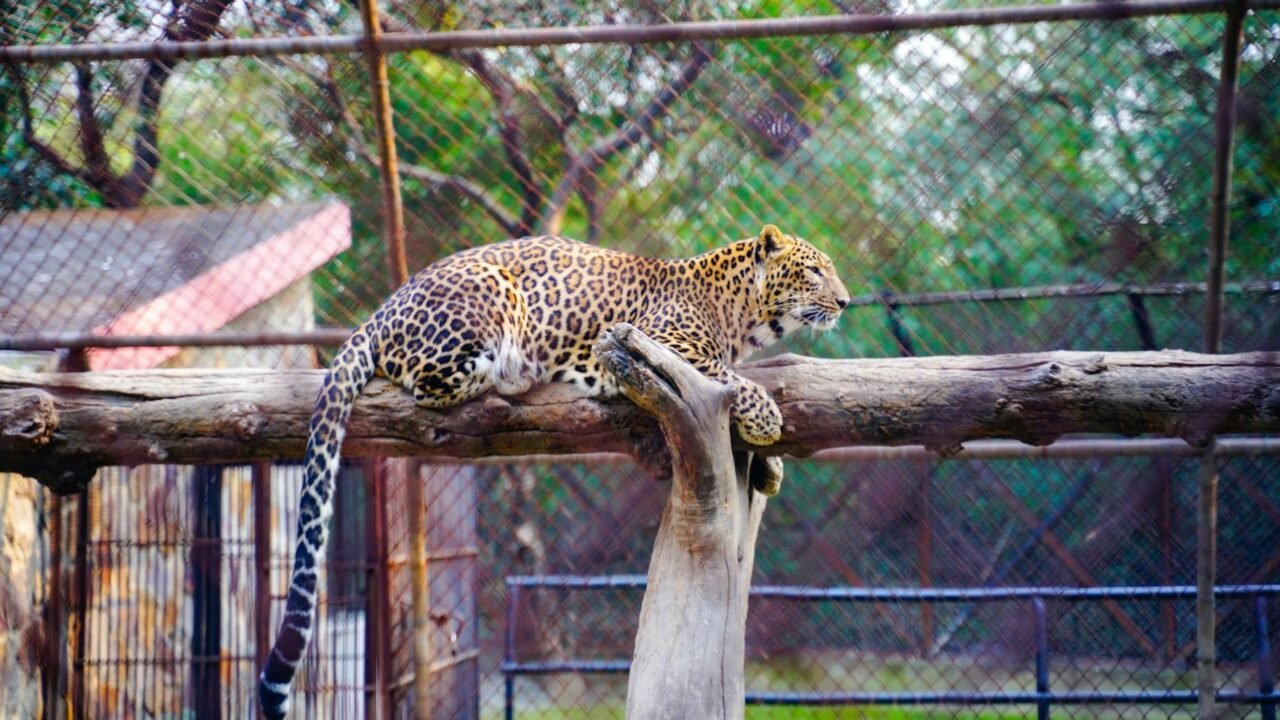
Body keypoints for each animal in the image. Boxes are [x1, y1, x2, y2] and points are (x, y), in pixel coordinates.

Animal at [258, 224, 850, 719]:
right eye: (814, 270)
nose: (845, 301)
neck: (742, 314)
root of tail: (381, 309)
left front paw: (770, 466)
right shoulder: (656, 343)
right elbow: (733, 379)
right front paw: (767, 417)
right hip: (488, 293)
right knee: (427, 382)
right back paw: (512, 372)